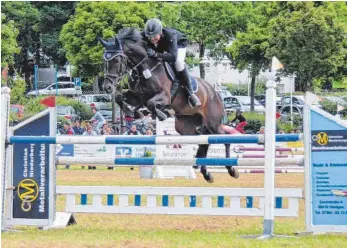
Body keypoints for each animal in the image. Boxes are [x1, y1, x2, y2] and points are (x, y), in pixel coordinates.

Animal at [98, 27, 239, 182]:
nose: (107, 87)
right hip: (186, 127)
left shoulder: (165, 97)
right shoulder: (136, 97)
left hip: (213, 123)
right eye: (104, 61)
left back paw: (231, 169)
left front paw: (162, 114)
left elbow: (151, 103)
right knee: (203, 141)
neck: (146, 68)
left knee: (224, 138)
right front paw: (134, 113)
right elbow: (120, 97)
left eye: (117, 60)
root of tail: (215, 92)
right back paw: (206, 173)